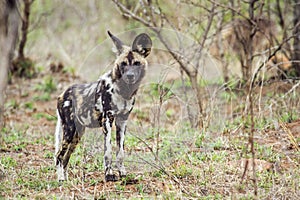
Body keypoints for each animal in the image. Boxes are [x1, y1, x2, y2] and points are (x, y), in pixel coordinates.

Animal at [54, 30, 152, 181]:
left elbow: (120, 152)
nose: (130, 76)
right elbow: (108, 151)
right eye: (123, 64)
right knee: (59, 155)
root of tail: (62, 94)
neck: (123, 90)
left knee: (65, 158)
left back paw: (66, 179)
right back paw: (60, 180)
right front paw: (109, 175)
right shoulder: (107, 120)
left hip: (77, 134)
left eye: (137, 63)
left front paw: (122, 173)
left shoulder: (122, 120)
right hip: (69, 131)